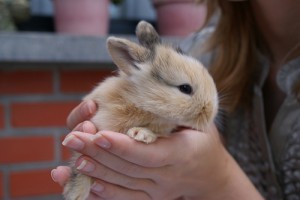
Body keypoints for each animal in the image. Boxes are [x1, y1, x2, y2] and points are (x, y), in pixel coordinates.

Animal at [63, 20, 218, 200]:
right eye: (185, 88)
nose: (210, 113)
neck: (143, 107)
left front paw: (141, 134)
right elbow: (81, 161)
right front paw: (75, 193)